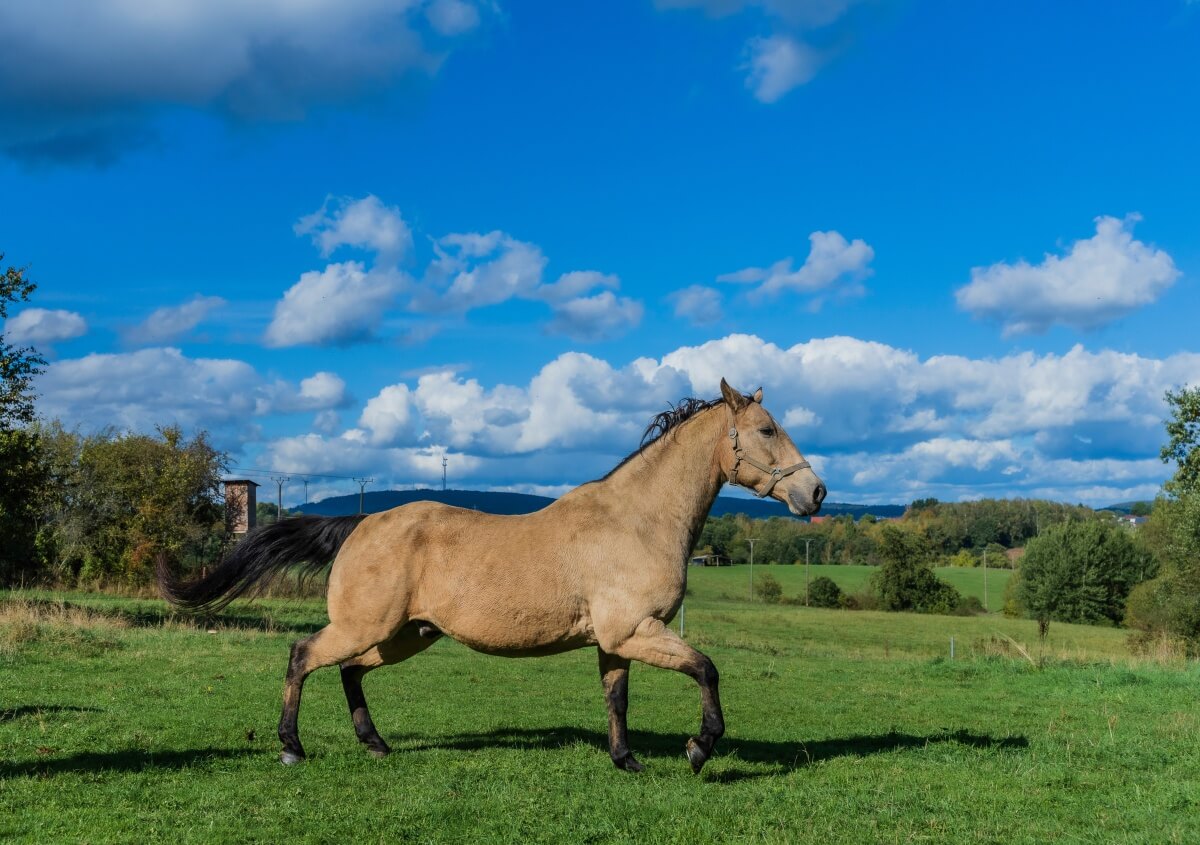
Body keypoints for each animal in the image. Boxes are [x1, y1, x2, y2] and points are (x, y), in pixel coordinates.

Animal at [159, 379, 826, 773]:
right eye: (767, 430)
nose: (815, 492)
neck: (636, 519)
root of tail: (361, 524)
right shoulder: (636, 631)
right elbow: (707, 671)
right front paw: (698, 748)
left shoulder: (617, 640)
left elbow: (617, 699)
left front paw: (627, 762)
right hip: (364, 626)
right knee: (303, 656)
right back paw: (292, 747)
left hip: (405, 635)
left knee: (350, 671)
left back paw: (375, 743)